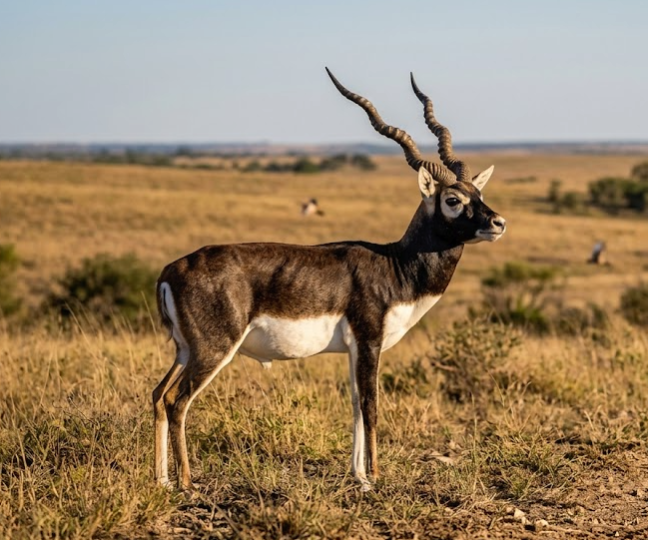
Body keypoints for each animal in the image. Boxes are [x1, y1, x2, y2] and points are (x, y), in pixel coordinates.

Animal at [153, 68, 507, 491]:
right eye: (453, 200)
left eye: (478, 193)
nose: (498, 223)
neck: (394, 264)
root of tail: (171, 270)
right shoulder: (370, 342)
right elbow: (370, 406)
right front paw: (375, 477)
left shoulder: (353, 350)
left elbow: (354, 406)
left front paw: (359, 475)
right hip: (213, 349)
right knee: (177, 402)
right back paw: (187, 483)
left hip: (183, 349)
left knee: (157, 395)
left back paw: (162, 481)